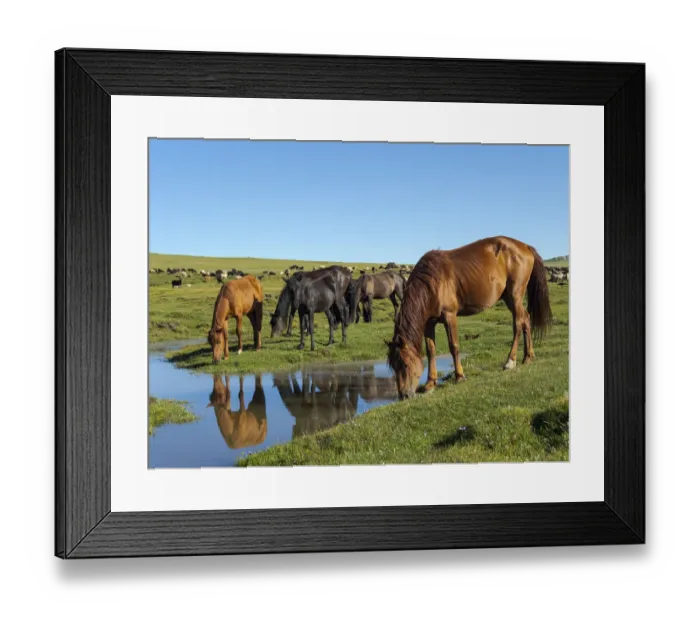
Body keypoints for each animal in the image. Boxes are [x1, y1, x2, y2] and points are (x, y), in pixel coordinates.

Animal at [386, 236, 553, 399]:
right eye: (393, 366)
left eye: (405, 364)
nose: (404, 395)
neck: (432, 282)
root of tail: (525, 246)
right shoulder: (429, 323)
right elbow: (430, 350)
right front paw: (430, 384)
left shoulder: (449, 316)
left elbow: (454, 346)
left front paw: (459, 376)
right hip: (509, 298)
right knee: (526, 319)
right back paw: (528, 357)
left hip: (515, 295)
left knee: (518, 324)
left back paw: (510, 361)